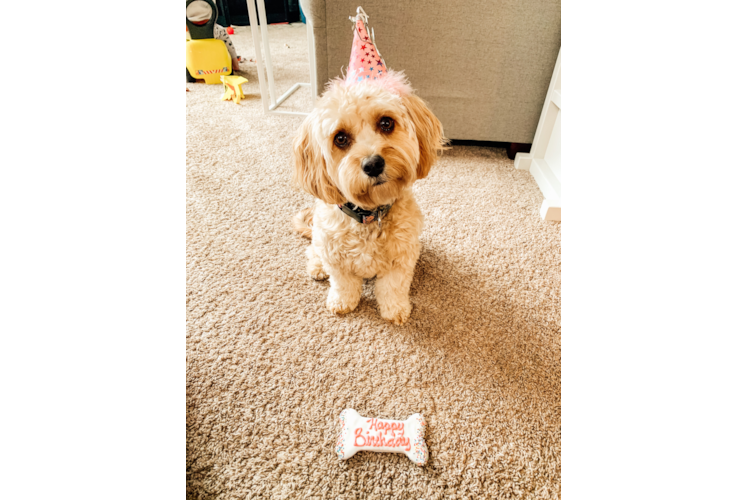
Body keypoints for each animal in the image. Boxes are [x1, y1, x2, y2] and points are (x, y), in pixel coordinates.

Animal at [290, 71, 444, 328]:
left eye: (386, 123)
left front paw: (395, 310)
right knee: (312, 251)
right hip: (320, 239)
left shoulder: (401, 259)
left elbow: (393, 288)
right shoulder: (336, 257)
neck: (369, 215)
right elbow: (343, 284)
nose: (373, 164)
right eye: (340, 138)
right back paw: (317, 267)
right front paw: (342, 302)